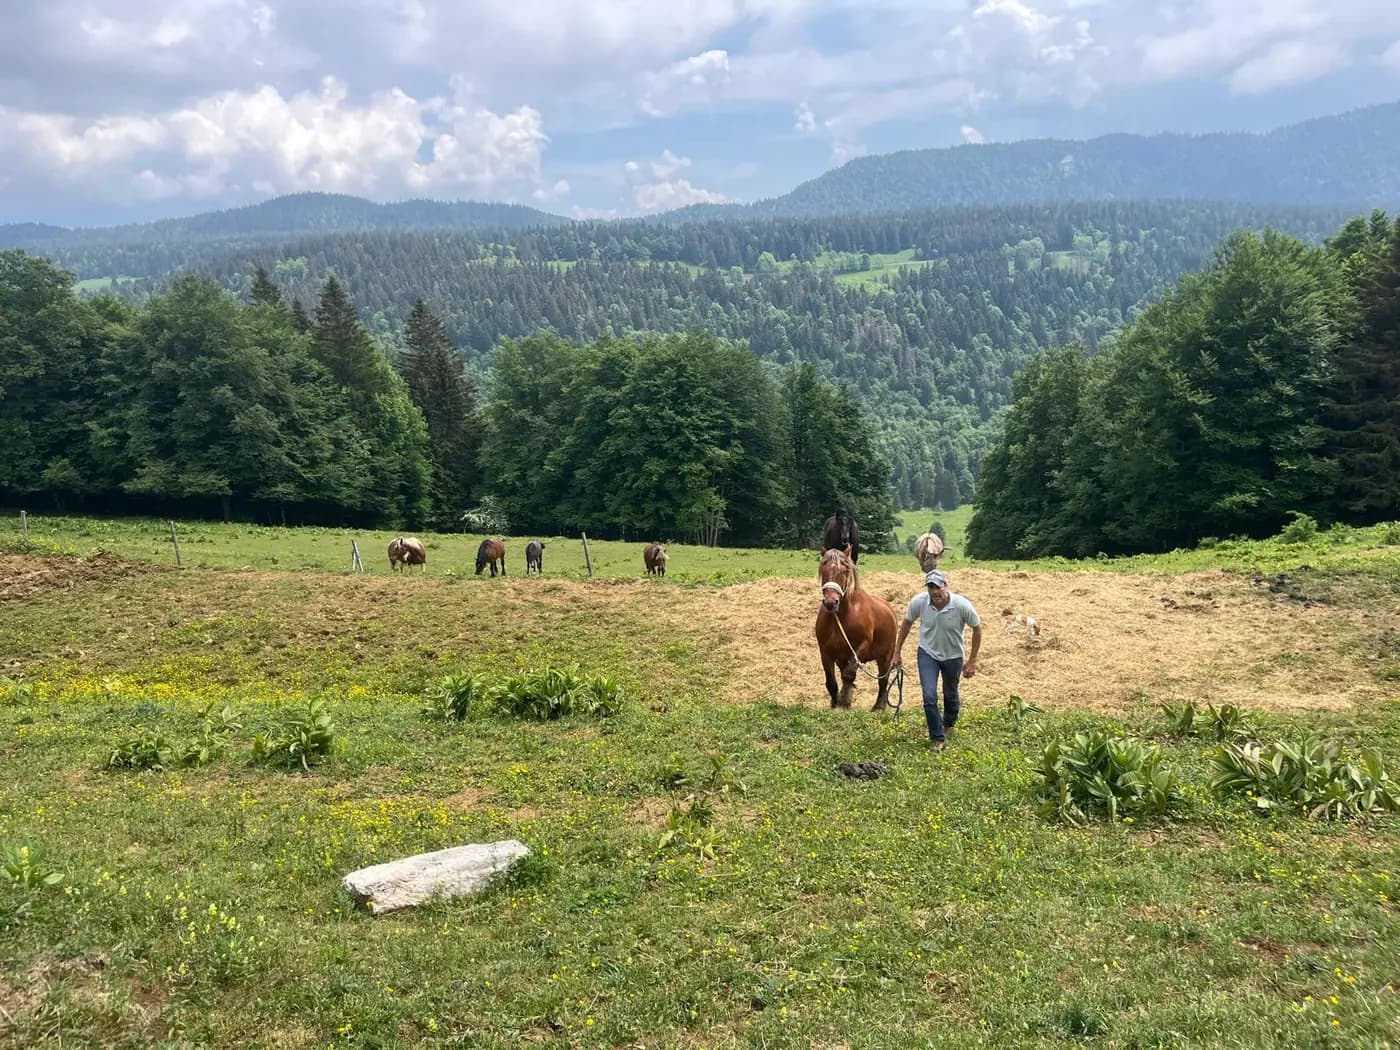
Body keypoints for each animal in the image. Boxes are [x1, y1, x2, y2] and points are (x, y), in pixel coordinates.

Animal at [815, 547, 898, 710]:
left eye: (844, 571)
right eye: (823, 569)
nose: (830, 602)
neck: (841, 616)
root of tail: (890, 610)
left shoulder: (861, 647)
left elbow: (849, 675)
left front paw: (843, 701)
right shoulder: (826, 652)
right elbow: (831, 682)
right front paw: (836, 703)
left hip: (885, 656)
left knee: (883, 680)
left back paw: (879, 706)